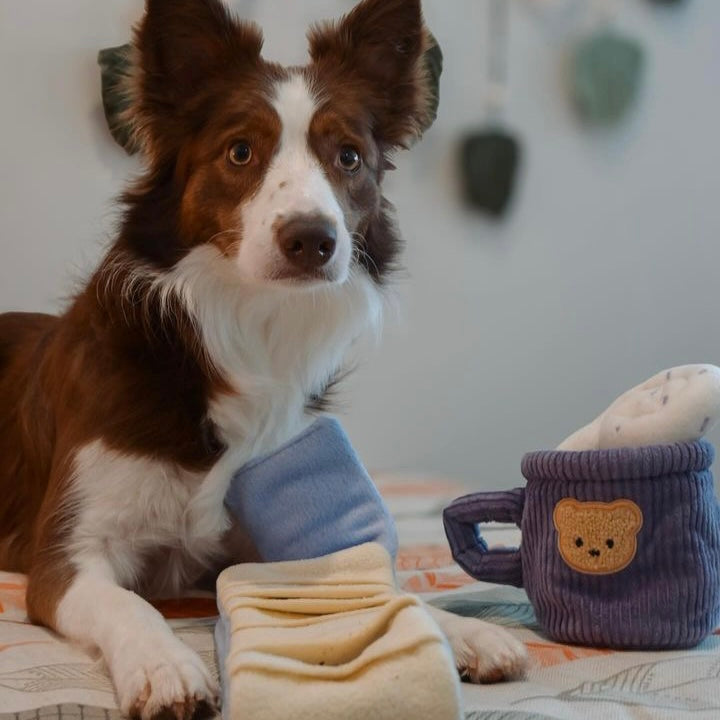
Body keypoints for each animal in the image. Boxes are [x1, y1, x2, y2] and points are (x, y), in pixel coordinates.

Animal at [0, 1, 528, 720]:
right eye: (240, 151)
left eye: (349, 157)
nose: (312, 239)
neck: (233, 332)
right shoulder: (65, 553)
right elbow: (130, 604)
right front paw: (165, 666)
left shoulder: (260, 540)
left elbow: (374, 585)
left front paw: (462, 627)